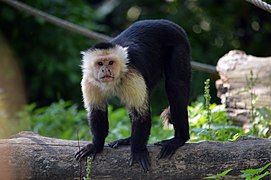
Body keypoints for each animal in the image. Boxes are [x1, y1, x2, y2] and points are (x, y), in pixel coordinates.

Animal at [75, 19, 192, 172]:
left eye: (110, 62)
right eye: (100, 63)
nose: (105, 70)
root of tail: (166, 22)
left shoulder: (132, 75)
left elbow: (141, 114)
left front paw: (137, 151)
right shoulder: (89, 81)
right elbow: (97, 111)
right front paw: (96, 145)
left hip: (178, 44)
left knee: (175, 85)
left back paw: (180, 138)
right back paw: (128, 140)